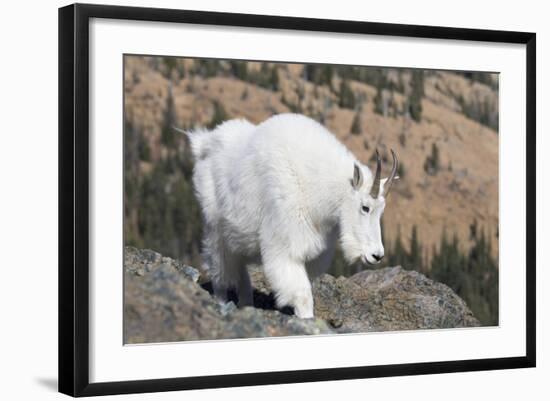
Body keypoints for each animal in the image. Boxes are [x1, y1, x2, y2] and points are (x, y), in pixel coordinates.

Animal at [183, 114, 398, 318]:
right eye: (365, 207)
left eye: (382, 209)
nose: (377, 255)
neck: (315, 184)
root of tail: (204, 142)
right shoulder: (286, 247)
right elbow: (302, 296)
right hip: (215, 227)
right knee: (219, 266)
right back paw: (221, 302)